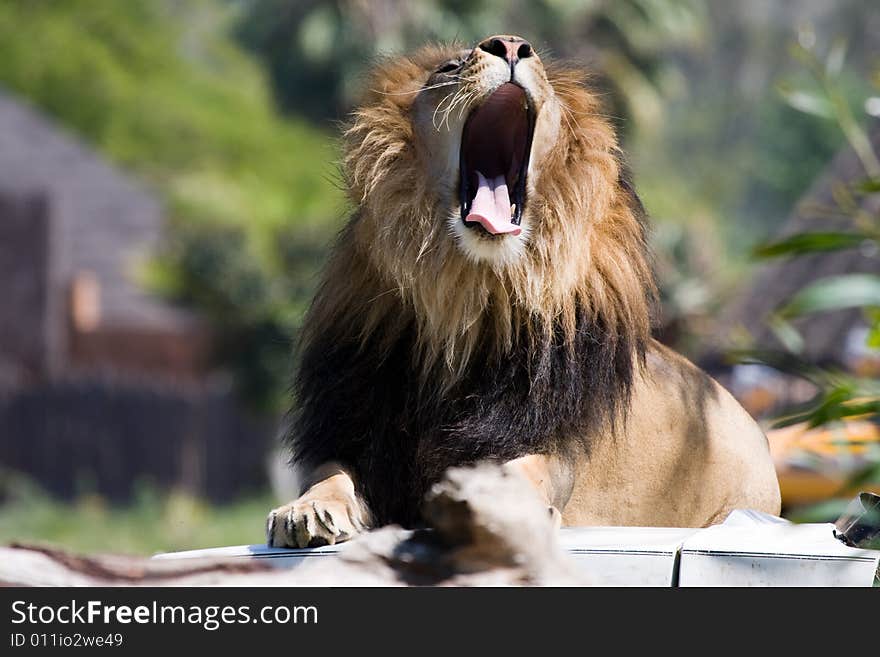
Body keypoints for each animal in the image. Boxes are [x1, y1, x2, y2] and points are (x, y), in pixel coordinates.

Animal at [264, 36, 780, 548]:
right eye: (449, 68)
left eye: (542, 70)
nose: (510, 44)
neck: (467, 293)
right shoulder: (350, 421)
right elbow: (329, 472)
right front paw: (307, 510)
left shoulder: (553, 437)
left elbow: (520, 471)